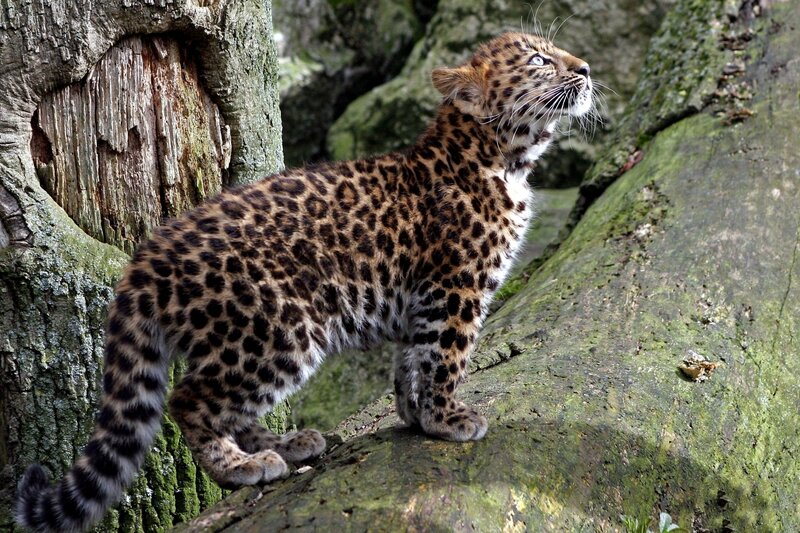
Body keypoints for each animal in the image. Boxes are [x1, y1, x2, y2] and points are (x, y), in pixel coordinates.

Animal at [16, 31, 593, 532]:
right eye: (539, 60)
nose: (586, 68)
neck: (504, 159)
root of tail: (147, 256)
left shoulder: (425, 297)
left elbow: (411, 358)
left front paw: (415, 415)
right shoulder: (456, 288)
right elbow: (446, 357)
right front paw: (448, 419)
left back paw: (287, 443)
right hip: (276, 329)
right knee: (190, 399)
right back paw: (241, 466)